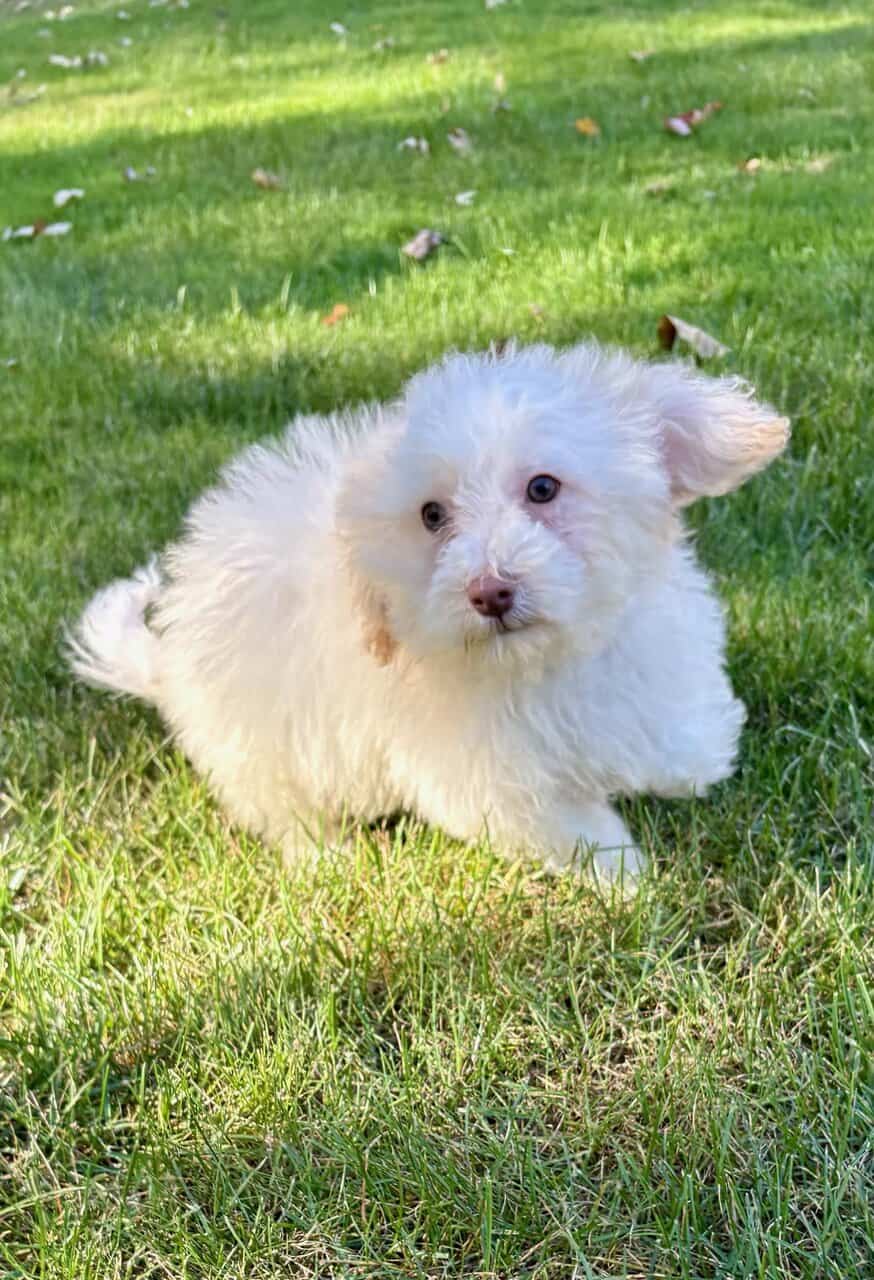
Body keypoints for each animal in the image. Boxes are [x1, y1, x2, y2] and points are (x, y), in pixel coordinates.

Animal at [68, 342, 789, 882]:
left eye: (543, 488)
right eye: (432, 515)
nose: (490, 592)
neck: (544, 662)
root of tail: (166, 657)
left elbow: (680, 738)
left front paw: (698, 761)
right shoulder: (482, 776)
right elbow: (565, 822)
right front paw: (624, 873)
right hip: (257, 744)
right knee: (282, 808)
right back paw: (327, 854)